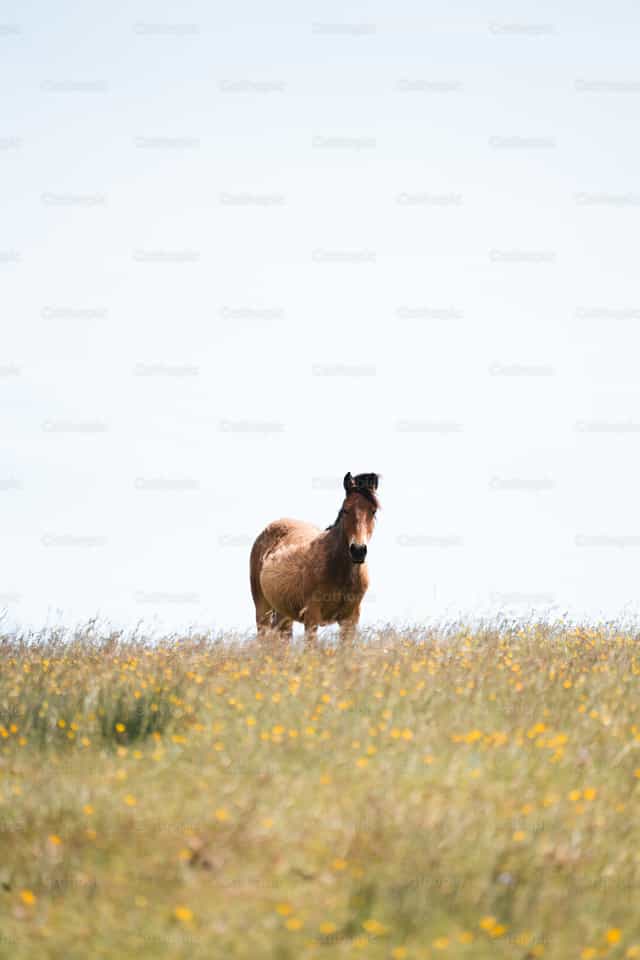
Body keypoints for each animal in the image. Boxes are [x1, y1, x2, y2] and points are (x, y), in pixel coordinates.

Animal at [250, 472, 380, 643]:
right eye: (345, 510)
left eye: (373, 511)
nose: (358, 550)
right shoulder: (312, 617)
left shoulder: (350, 619)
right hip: (262, 609)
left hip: (283, 614)